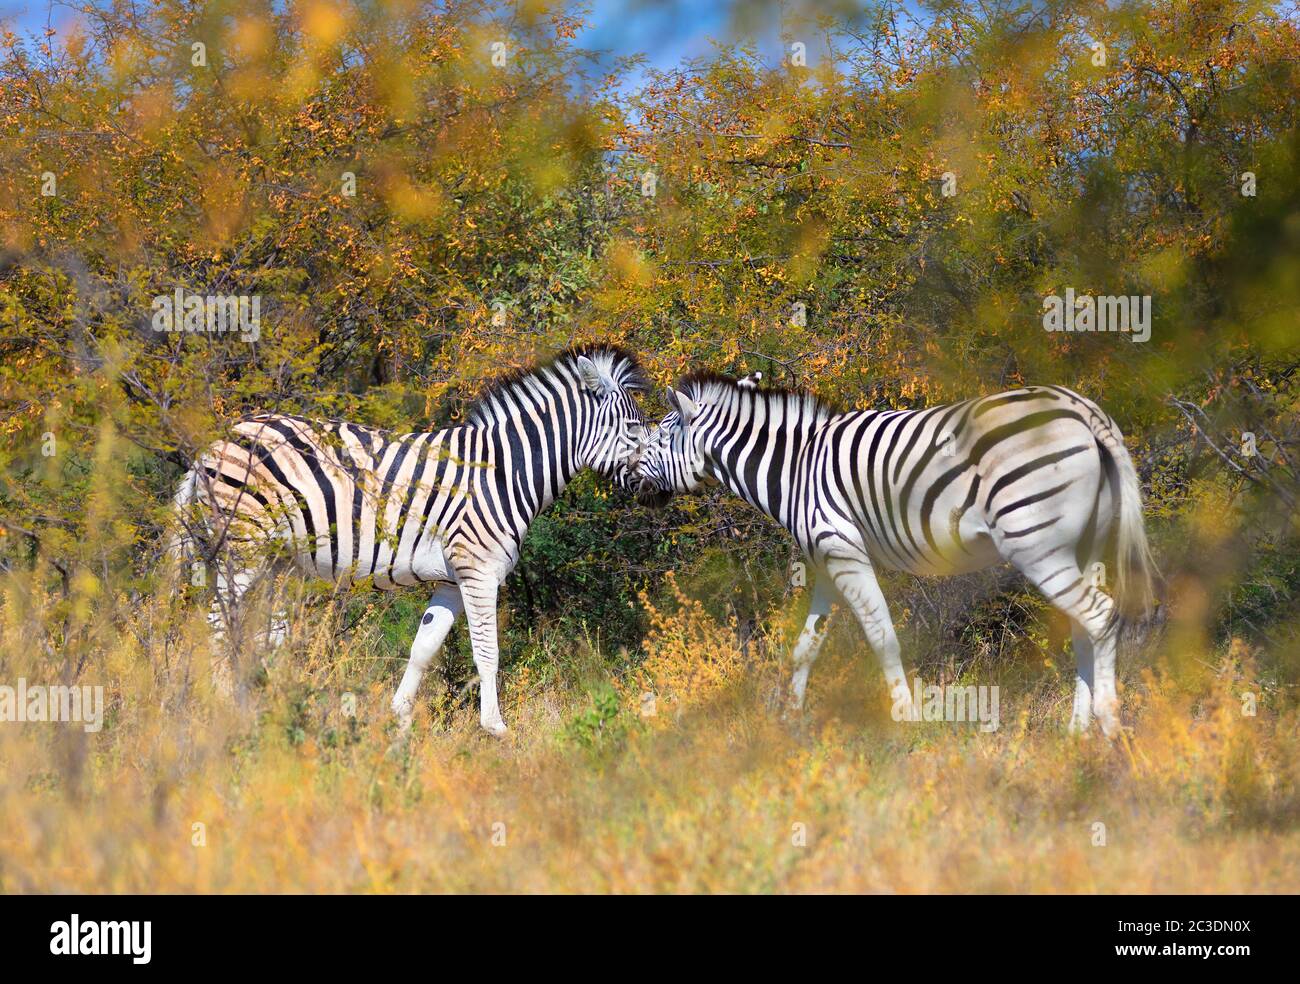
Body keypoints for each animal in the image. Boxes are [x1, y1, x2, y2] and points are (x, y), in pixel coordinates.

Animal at [172, 345, 652, 736]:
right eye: (632, 428)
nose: (658, 484)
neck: (503, 474)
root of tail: (213, 444)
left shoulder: (452, 580)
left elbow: (424, 648)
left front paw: (398, 720)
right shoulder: (478, 571)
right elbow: (488, 651)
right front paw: (495, 729)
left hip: (275, 561)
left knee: (259, 635)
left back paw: (264, 707)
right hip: (242, 549)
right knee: (217, 627)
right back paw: (224, 712)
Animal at [630, 373, 1156, 736]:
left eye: (658, 438)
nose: (628, 479)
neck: (797, 467)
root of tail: (1081, 409)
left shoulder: (842, 550)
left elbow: (881, 635)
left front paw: (905, 716)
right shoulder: (828, 561)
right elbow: (807, 646)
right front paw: (790, 720)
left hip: (1036, 541)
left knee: (1100, 614)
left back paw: (1109, 726)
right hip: (1081, 546)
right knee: (1085, 627)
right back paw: (1076, 731)